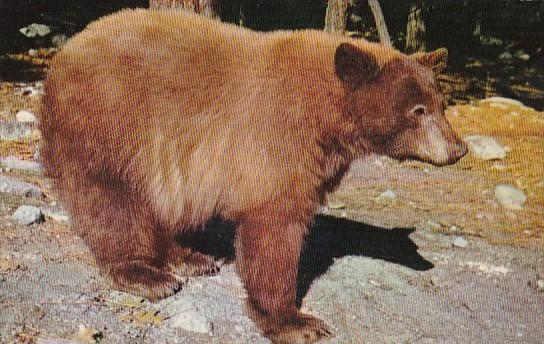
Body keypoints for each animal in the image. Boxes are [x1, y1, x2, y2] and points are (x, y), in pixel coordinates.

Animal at [40, 8, 468, 344]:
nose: (458, 149)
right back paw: (145, 274)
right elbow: (275, 227)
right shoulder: (277, 139)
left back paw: (187, 257)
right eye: (417, 111)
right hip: (109, 124)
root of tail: (65, 52)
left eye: (440, 104)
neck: (327, 116)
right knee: (111, 201)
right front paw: (296, 321)